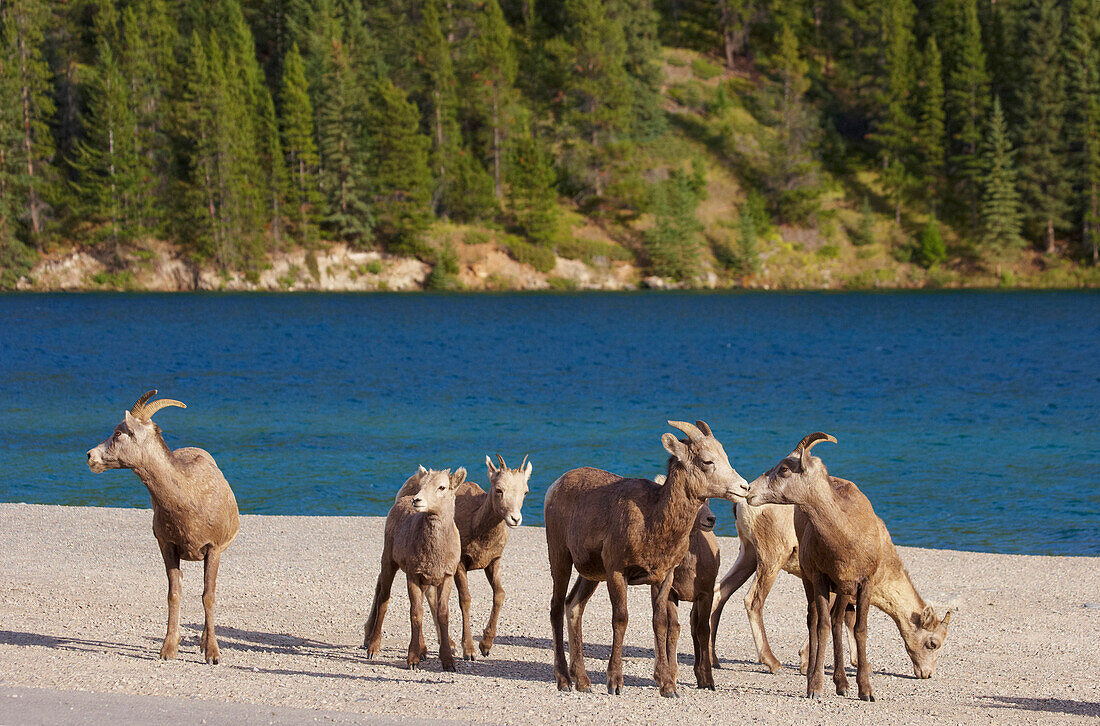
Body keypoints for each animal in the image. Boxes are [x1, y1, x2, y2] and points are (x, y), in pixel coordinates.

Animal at [86, 391, 239, 664]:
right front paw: (168, 650)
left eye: (118, 432)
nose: (90, 456)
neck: (189, 497)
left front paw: (212, 653)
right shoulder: (167, 547)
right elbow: (174, 594)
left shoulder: (213, 549)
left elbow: (208, 596)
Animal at [360, 468, 464, 673]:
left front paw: (448, 661)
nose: (417, 500)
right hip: (389, 563)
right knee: (384, 599)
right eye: (423, 484)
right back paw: (373, 648)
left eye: (442, 487)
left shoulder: (446, 577)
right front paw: (413, 660)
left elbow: (442, 614)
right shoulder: (413, 576)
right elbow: (416, 613)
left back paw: (423, 651)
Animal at [545, 420, 752, 699]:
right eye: (707, 461)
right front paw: (615, 683)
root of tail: (555, 486)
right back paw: (564, 681)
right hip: (560, 558)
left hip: (590, 575)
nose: (744, 487)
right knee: (557, 607)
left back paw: (583, 682)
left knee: (573, 606)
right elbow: (620, 619)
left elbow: (661, 624)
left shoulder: (663, 578)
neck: (651, 520)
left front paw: (668, 687)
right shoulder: (617, 572)